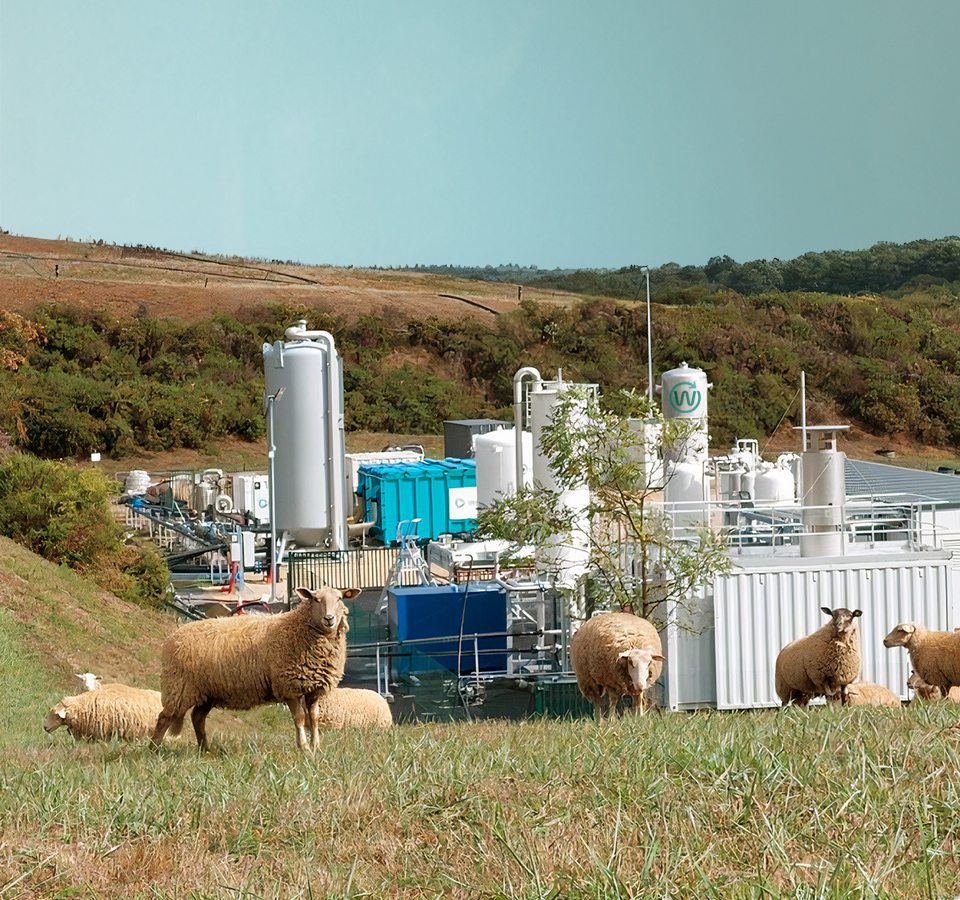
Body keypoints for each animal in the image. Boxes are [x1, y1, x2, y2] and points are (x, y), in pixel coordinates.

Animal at [150, 584, 360, 752]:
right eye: (316, 599)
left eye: (340, 598)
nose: (329, 619)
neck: (298, 628)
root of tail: (172, 638)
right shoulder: (289, 686)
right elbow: (300, 718)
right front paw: (305, 748)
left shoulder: (314, 689)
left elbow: (314, 718)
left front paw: (317, 747)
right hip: (179, 686)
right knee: (164, 717)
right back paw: (155, 749)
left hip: (208, 690)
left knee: (197, 717)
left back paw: (205, 750)